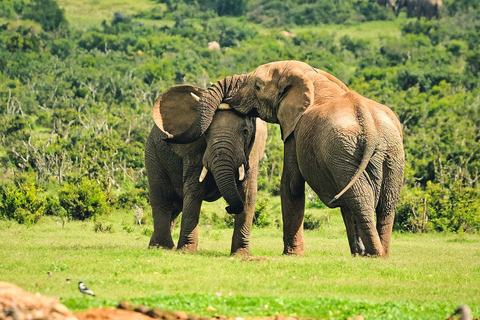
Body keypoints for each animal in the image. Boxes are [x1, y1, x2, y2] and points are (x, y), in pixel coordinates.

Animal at [144, 85, 268, 255]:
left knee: (175, 206)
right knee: (163, 199)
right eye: (205, 133)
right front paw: (186, 252)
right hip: (153, 154)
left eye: (245, 132)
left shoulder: (252, 153)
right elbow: (194, 190)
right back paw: (163, 247)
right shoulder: (194, 151)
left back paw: (159, 247)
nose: (228, 208)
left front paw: (242, 255)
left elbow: (248, 194)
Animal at [161, 61, 404, 258]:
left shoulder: (294, 130)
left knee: (359, 200)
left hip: (345, 153)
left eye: (257, 86)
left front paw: (291, 255)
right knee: (385, 204)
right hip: (391, 154)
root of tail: (369, 126)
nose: (229, 209)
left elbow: (290, 184)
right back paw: (378, 254)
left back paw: (373, 255)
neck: (310, 75)